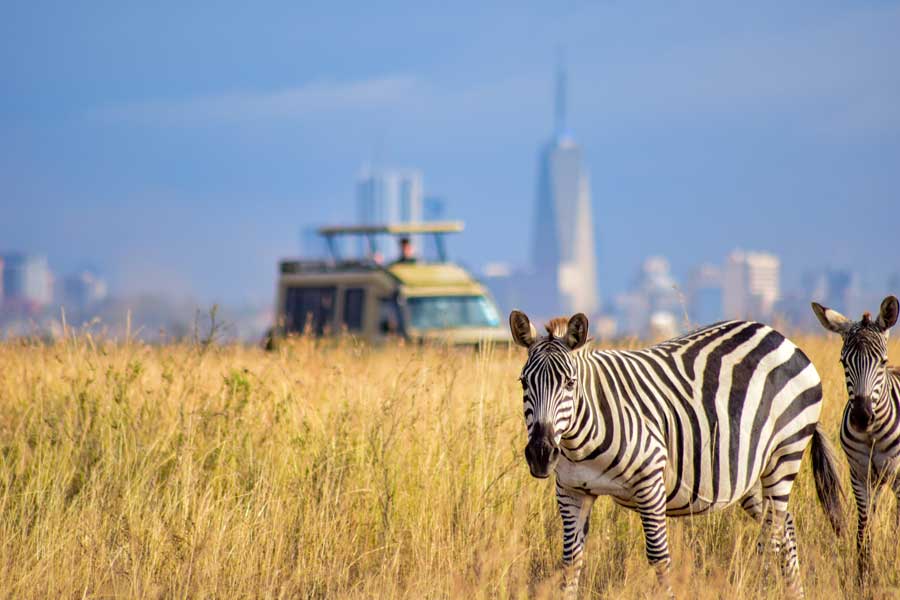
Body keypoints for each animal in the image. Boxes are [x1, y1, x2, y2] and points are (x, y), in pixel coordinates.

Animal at [509, 310, 844, 599]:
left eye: (569, 383)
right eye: (524, 383)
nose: (541, 453)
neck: (580, 441)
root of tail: (780, 337)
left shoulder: (650, 482)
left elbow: (659, 559)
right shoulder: (571, 491)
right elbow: (570, 562)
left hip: (784, 454)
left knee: (772, 536)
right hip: (748, 473)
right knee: (785, 527)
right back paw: (794, 593)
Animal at [811, 295, 900, 584]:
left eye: (882, 361)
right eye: (843, 362)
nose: (861, 416)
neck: (872, 434)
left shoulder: (899, 476)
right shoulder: (859, 474)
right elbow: (864, 527)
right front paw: (864, 575)